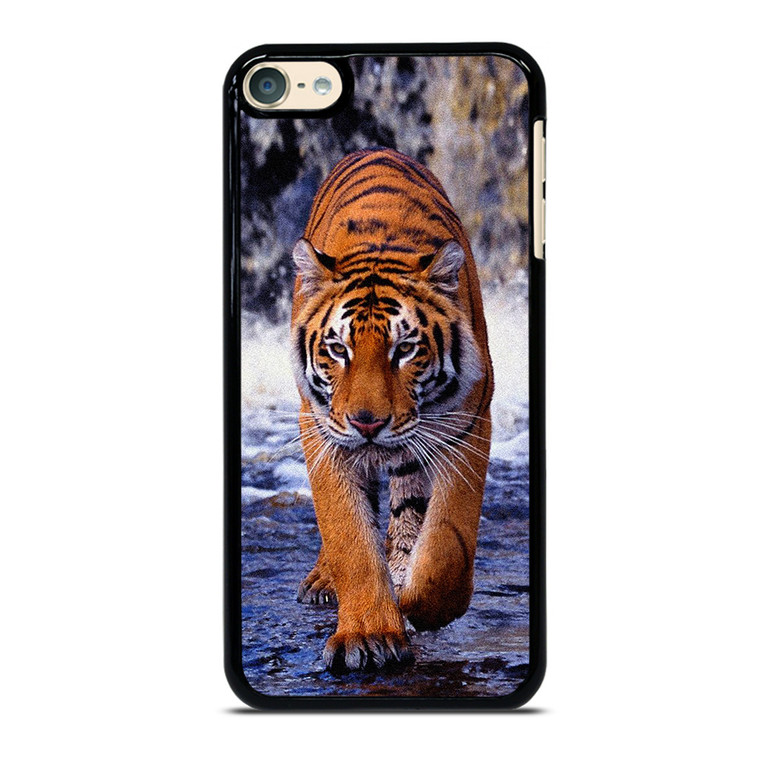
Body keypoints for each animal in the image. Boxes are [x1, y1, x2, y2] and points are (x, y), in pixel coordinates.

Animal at [290, 147, 494, 672]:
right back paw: (325, 581)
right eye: (337, 349)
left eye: (405, 349)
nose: (368, 423)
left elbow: (446, 544)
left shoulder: (466, 424)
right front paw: (369, 635)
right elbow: (348, 535)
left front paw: (418, 604)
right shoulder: (322, 431)